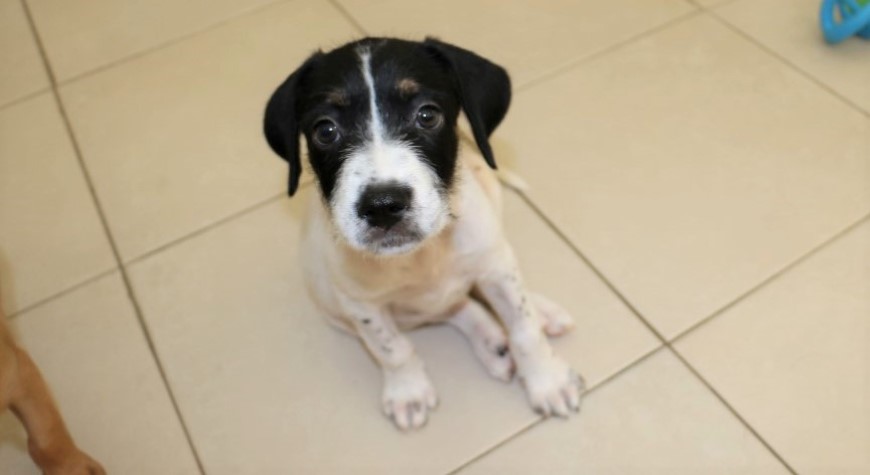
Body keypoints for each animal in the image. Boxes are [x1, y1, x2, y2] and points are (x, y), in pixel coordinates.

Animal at [264, 37, 584, 430]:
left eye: (427, 115)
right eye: (325, 130)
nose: (383, 205)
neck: (424, 254)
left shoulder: (493, 262)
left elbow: (523, 326)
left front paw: (547, 381)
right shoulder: (362, 305)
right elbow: (392, 349)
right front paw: (408, 391)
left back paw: (541, 313)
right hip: (330, 303)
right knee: (458, 307)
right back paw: (492, 342)